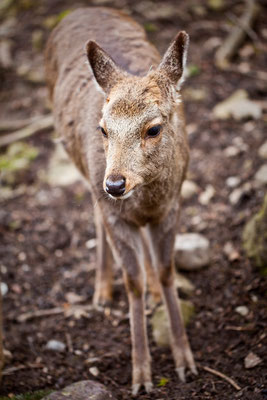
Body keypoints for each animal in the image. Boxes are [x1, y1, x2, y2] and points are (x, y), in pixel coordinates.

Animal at [45, 7, 198, 396]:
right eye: (103, 129)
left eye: (154, 128)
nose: (115, 183)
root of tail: (80, 9)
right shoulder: (115, 210)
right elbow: (132, 282)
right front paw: (141, 376)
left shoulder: (172, 207)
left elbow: (166, 271)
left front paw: (186, 363)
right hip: (85, 171)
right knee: (97, 214)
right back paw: (101, 291)